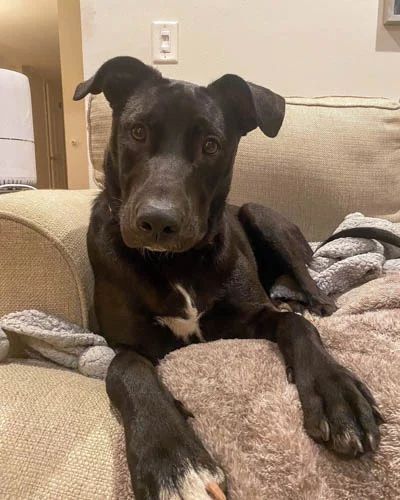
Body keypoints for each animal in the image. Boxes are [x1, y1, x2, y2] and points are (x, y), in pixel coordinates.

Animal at [74, 56, 384, 498]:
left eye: (211, 145)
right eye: (137, 131)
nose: (158, 222)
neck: (174, 263)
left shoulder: (251, 316)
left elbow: (296, 326)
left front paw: (335, 391)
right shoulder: (126, 343)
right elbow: (125, 370)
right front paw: (172, 458)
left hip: (260, 213)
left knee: (308, 282)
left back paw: (317, 303)